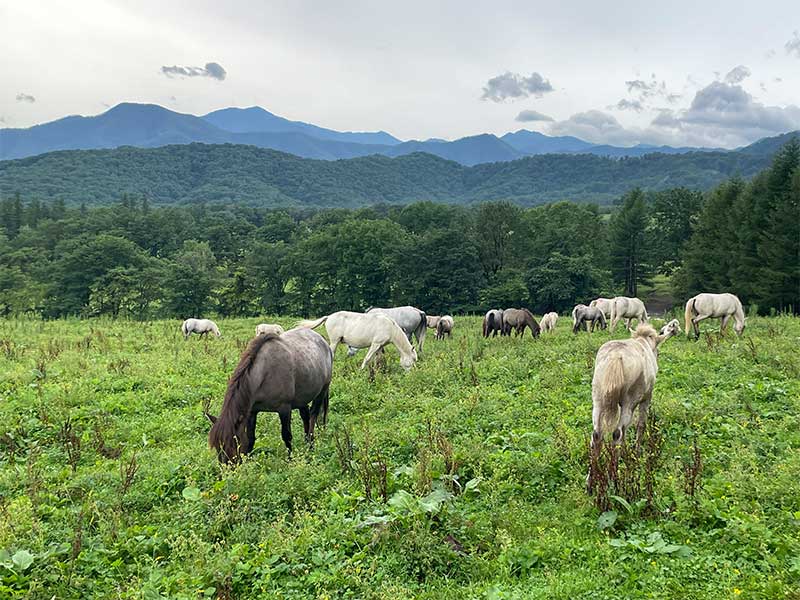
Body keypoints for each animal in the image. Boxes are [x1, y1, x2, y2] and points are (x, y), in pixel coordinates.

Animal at [206, 328, 334, 464]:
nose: (227, 467)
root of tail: (323, 341)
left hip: (322, 391)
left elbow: (287, 436)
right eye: (217, 447)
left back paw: (310, 445)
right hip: (302, 398)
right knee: (306, 416)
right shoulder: (252, 411)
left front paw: (290, 459)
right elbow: (250, 438)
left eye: (234, 442)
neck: (264, 374)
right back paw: (306, 442)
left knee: (313, 416)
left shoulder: (284, 409)